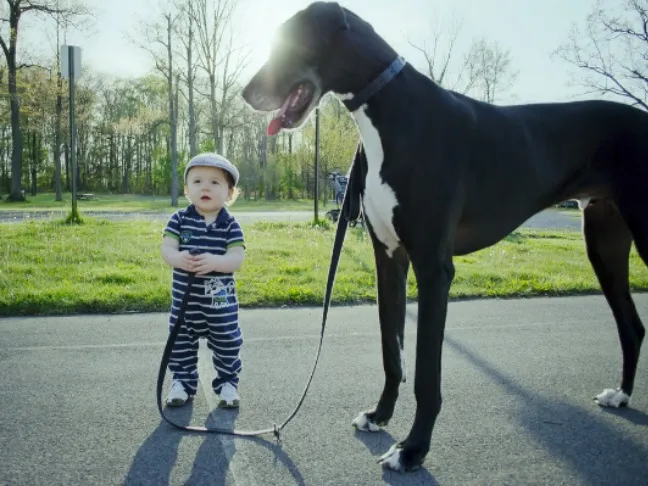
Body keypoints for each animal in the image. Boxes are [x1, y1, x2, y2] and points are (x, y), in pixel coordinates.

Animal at [242, 0, 648, 470]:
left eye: (289, 43)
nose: (246, 93)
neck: (391, 111)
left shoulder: (434, 268)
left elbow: (424, 374)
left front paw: (413, 450)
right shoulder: (389, 260)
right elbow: (392, 353)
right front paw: (380, 415)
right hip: (603, 242)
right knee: (631, 326)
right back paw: (621, 395)